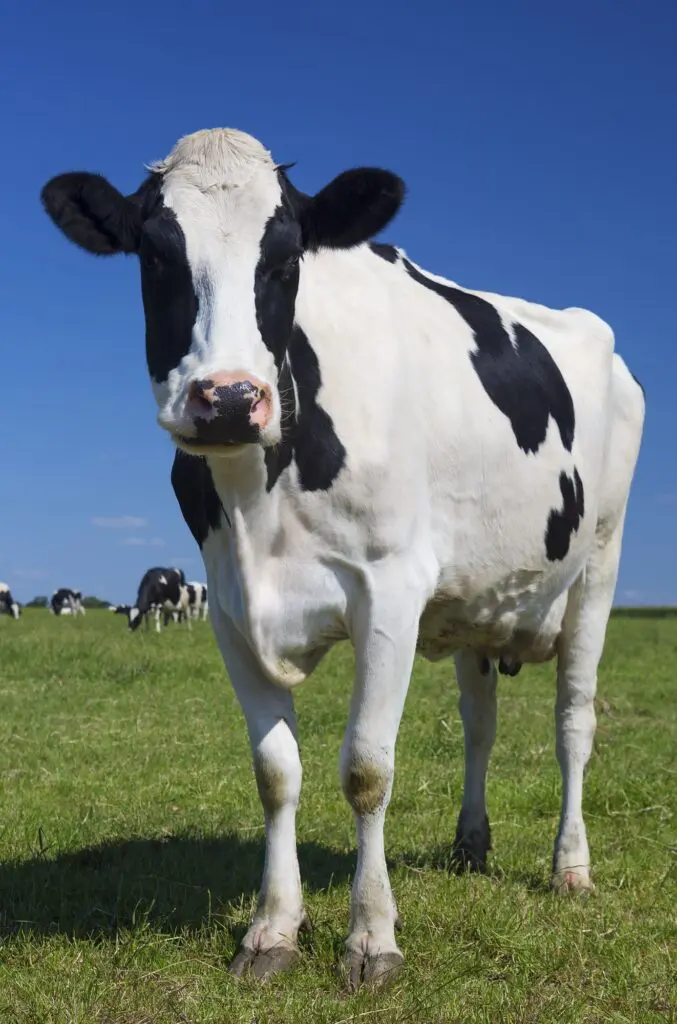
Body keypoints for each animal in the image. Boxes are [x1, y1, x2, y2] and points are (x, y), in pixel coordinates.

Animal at [40, 125, 643, 983]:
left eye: (287, 257)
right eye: (154, 254)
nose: (229, 399)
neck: (258, 503)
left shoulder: (388, 592)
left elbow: (366, 768)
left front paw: (370, 937)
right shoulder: (228, 607)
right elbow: (274, 773)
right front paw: (271, 929)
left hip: (597, 566)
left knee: (573, 722)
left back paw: (569, 866)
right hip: (478, 600)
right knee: (479, 723)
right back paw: (470, 842)